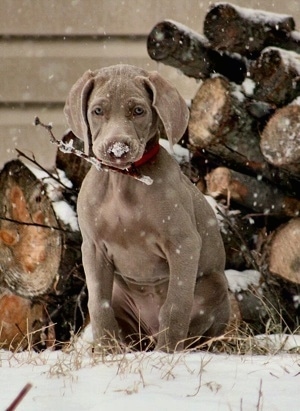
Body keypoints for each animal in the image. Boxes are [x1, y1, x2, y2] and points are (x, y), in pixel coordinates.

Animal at [64, 64, 230, 354]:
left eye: (138, 111)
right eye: (98, 111)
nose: (117, 148)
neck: (124, 180)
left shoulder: (183, 243)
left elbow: (175, 305)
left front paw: (167, 353)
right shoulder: (93, 247)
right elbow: (98, 305)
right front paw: (107, 352)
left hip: (215, 285)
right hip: (121, 297)